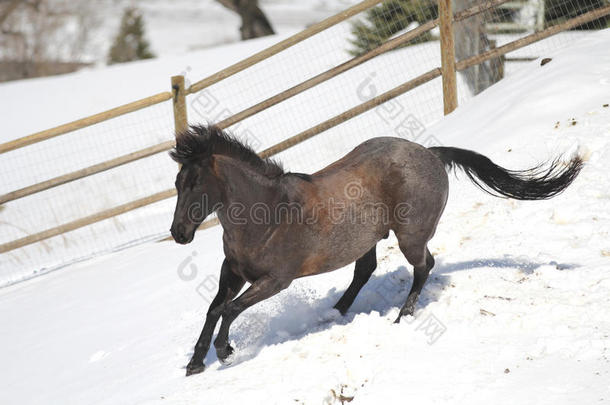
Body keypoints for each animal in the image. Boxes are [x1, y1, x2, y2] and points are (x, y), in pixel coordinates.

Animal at [170, 124, 580, 376]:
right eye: (177, 183)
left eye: (195, 182)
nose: (179, 233)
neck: (268, 213)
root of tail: (430, 154)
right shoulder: (233, 271)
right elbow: (214, 308)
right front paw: (195, 364)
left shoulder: (276, 280)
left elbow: (230, 309)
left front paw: (225, 351)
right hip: (367, 239)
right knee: (365, 270)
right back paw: (334, 314)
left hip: (410, 235)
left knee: (424, 265)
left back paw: (402, 316)